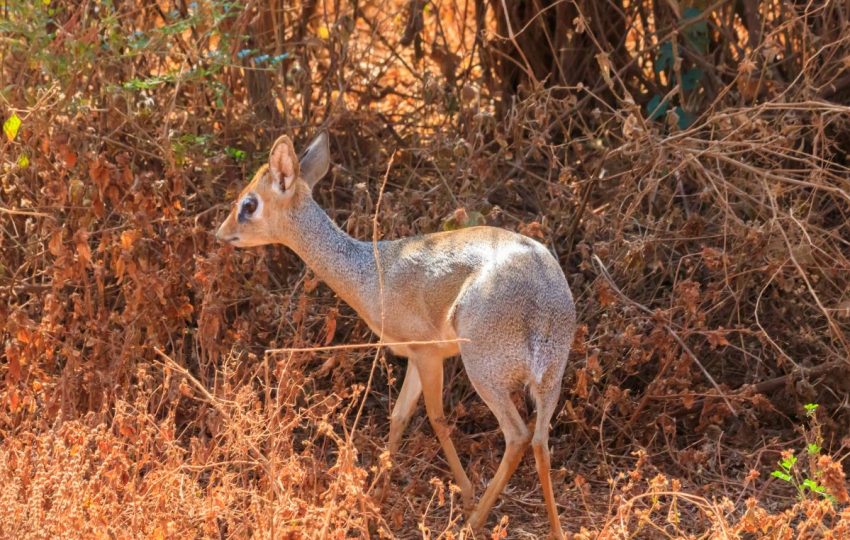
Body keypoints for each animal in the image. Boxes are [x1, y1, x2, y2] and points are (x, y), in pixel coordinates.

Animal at [214, 130, 576, 536]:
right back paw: (555, 530)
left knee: (517, 436)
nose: (221, 234)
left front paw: (464, 496)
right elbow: (400, 416)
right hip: (551, 377)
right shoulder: (415, 358)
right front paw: (376, 492)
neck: (371, 272)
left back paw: (472, 521)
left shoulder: (428, 354)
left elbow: (436, 419)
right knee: (541, 439)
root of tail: (542, 296)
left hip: (486, 371)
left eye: (249, 203)